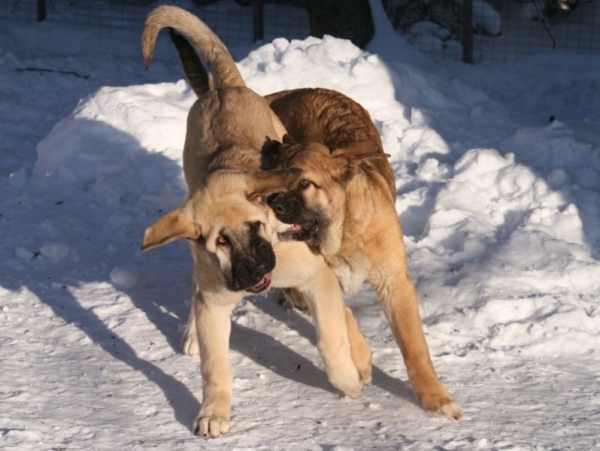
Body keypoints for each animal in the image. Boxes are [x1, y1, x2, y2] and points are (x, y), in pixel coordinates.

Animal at [142, 6, 366, 438]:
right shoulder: (214, 299)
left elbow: (331, 340)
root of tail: (223, 89)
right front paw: (213, 412)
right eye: (221, 241)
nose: (256, 270)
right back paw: (191, 331)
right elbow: (215, 366)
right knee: (195, 286)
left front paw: (349, 381)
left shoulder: (317, 278)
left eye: (255, 226)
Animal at [166, 30, 462, 422]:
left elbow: (414, 348)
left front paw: (435, 397)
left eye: (304, 183)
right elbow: (344, 317)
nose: (273, 205)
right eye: (272, 180)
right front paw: (360, 363)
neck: (343, 234)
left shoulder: (393, 283)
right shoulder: (319, 277)